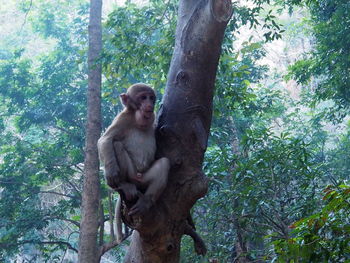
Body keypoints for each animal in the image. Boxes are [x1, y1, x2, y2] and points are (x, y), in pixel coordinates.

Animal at [98, 83, 170, 220]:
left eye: (151, 98)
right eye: (143, 97)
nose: (149, 104)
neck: (137, 119)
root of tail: (137, 181)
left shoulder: (153, 118)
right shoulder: (123, 118)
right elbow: (105, 140)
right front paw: (111, 173)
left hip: (144, 180)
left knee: (164, 163)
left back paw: (146, 201)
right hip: (132, 174)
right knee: (117, 145)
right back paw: (123, 184)